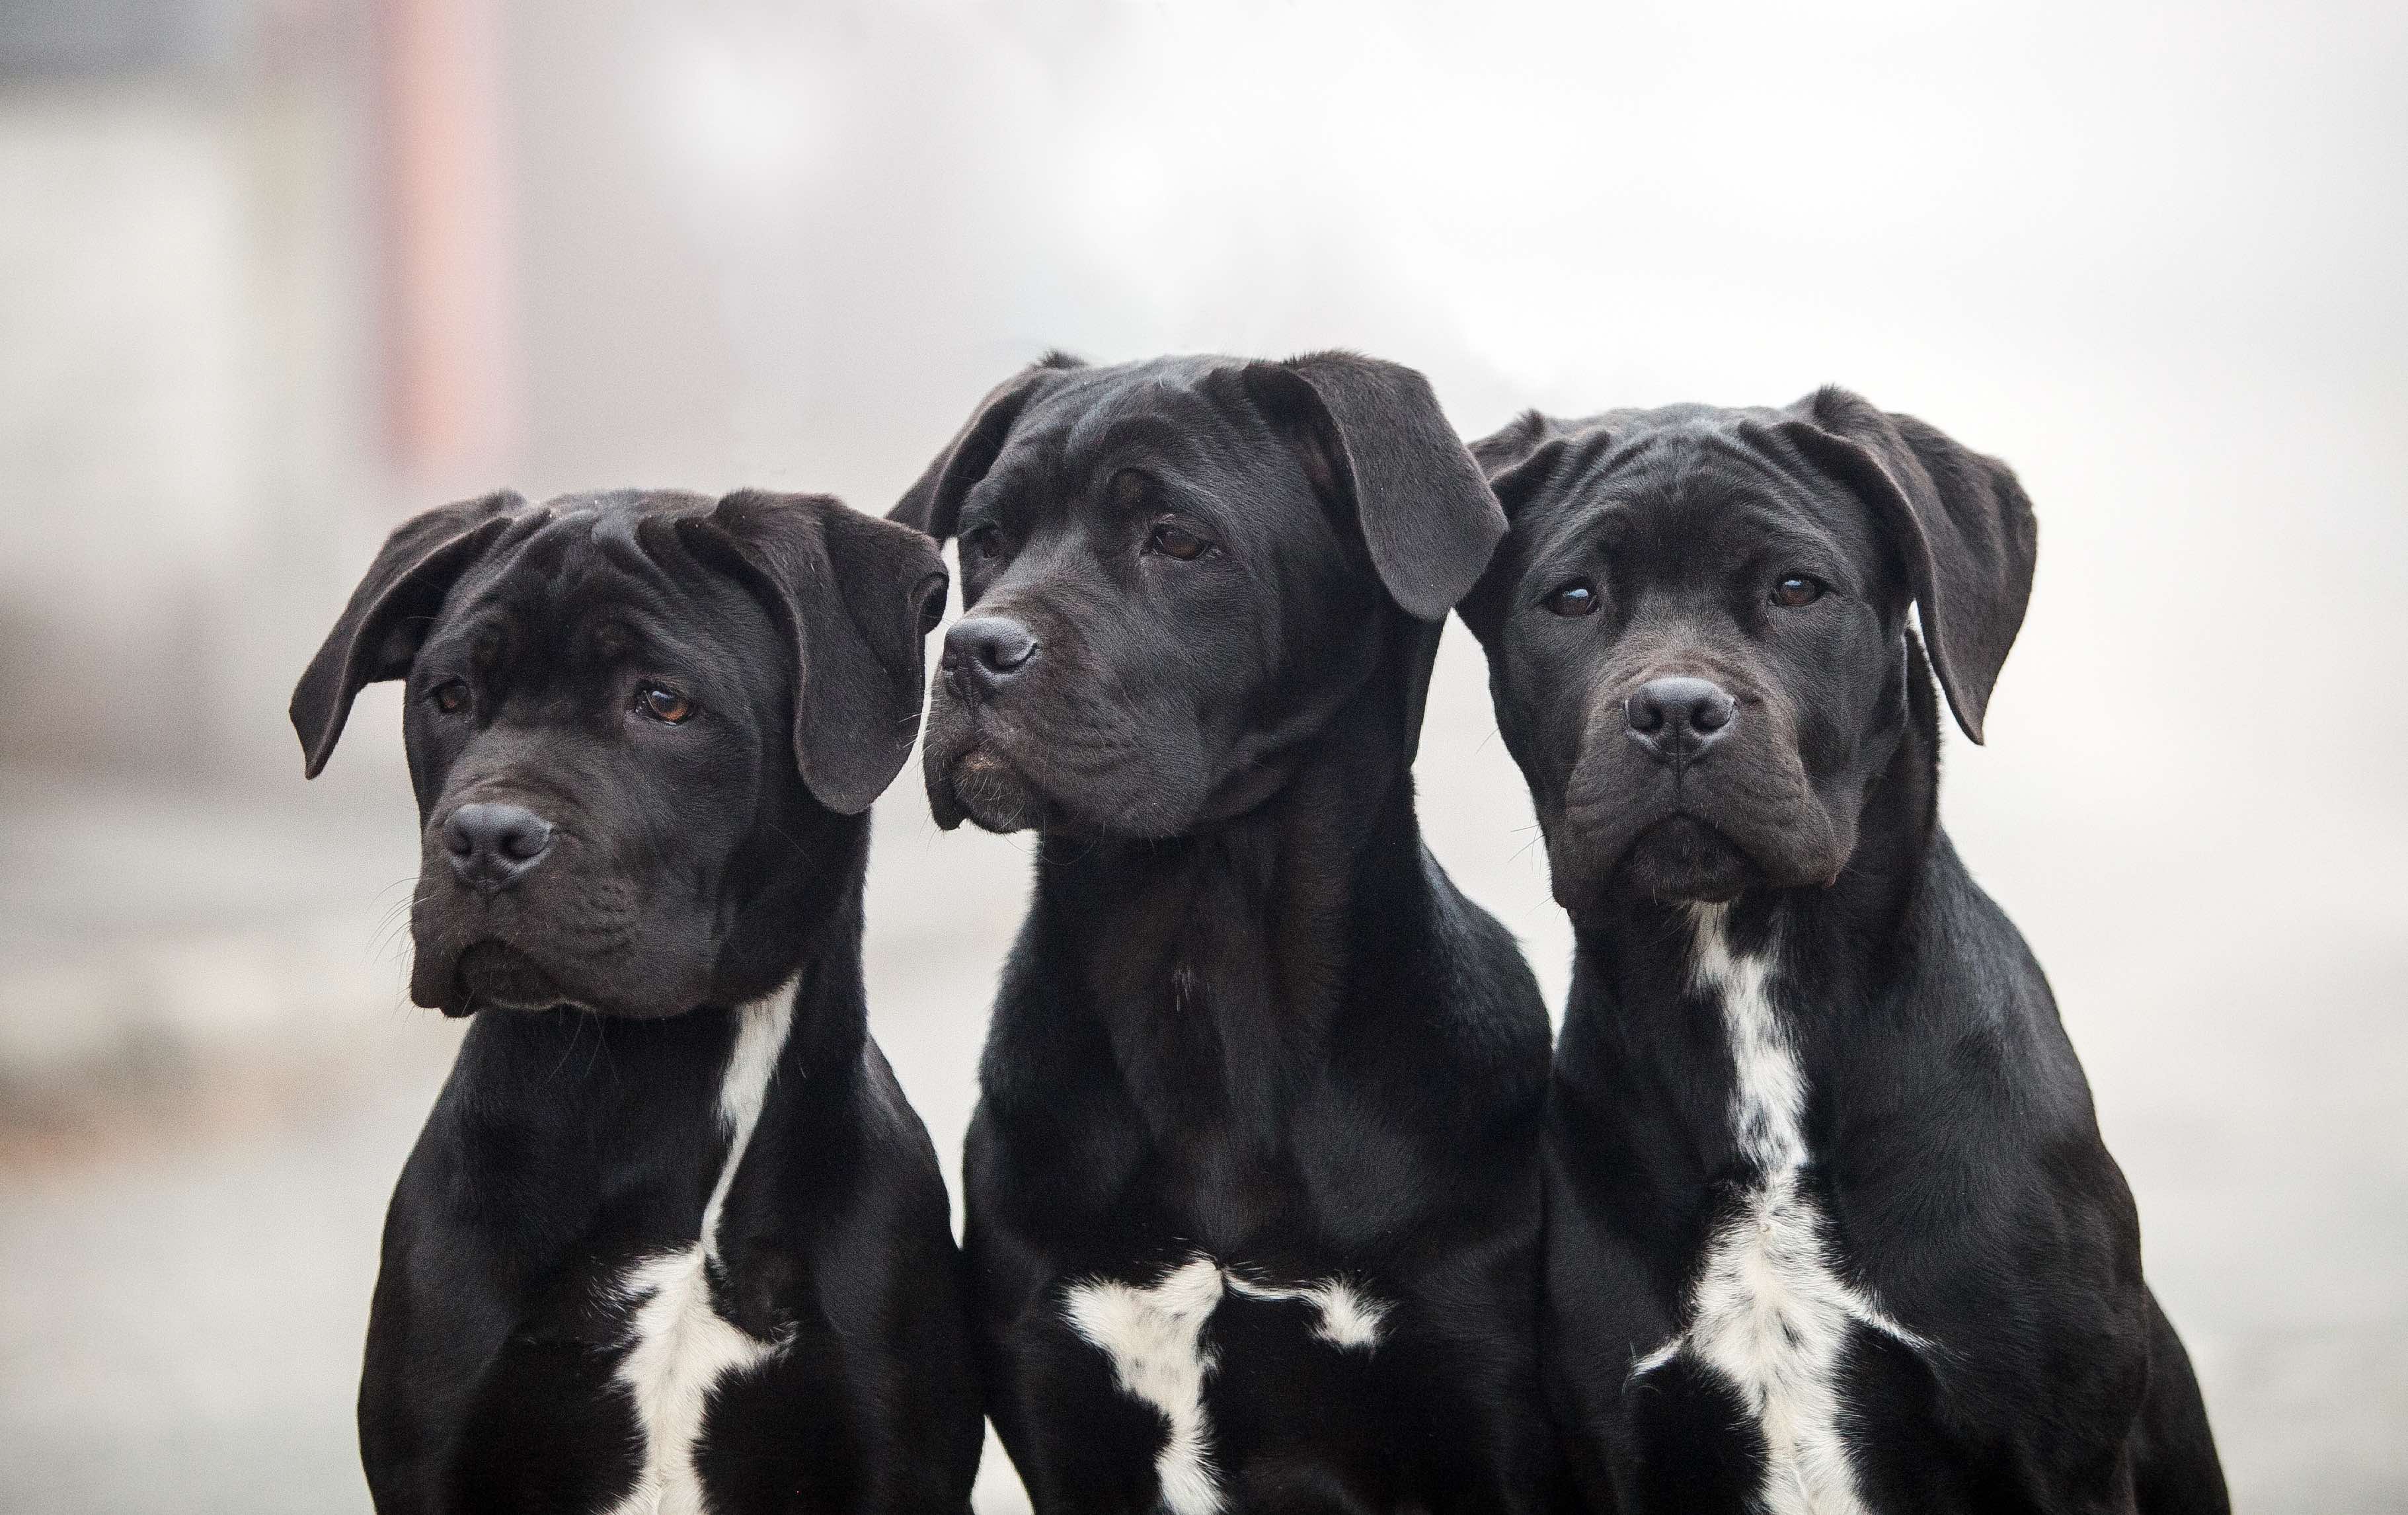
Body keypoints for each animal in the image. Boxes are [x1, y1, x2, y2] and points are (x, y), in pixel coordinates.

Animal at [896, 356, 1570, 1512]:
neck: (1197, 962)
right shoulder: (1060, 1403)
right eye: (984, 538)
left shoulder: (1481, 1408)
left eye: (1175, 538)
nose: (973, 653)